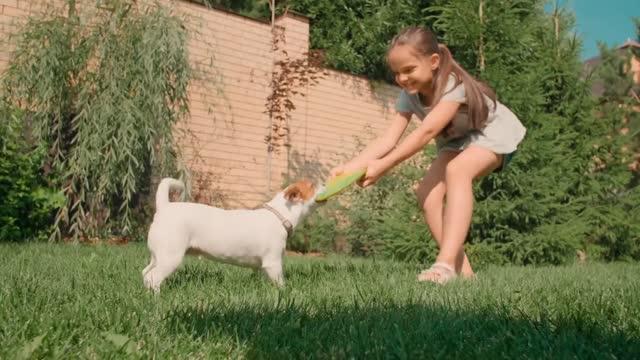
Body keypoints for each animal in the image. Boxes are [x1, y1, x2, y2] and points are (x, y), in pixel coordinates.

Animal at [142, 177, 322, 292]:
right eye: (312, 185)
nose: (324, 183)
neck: (279, 215)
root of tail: (164, 207)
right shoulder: (273, 263)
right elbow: (280, 284)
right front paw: (284, 293)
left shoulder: (264, 266)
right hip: (171, 257)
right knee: (153, 277)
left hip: (158, 256)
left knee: (145, 273)